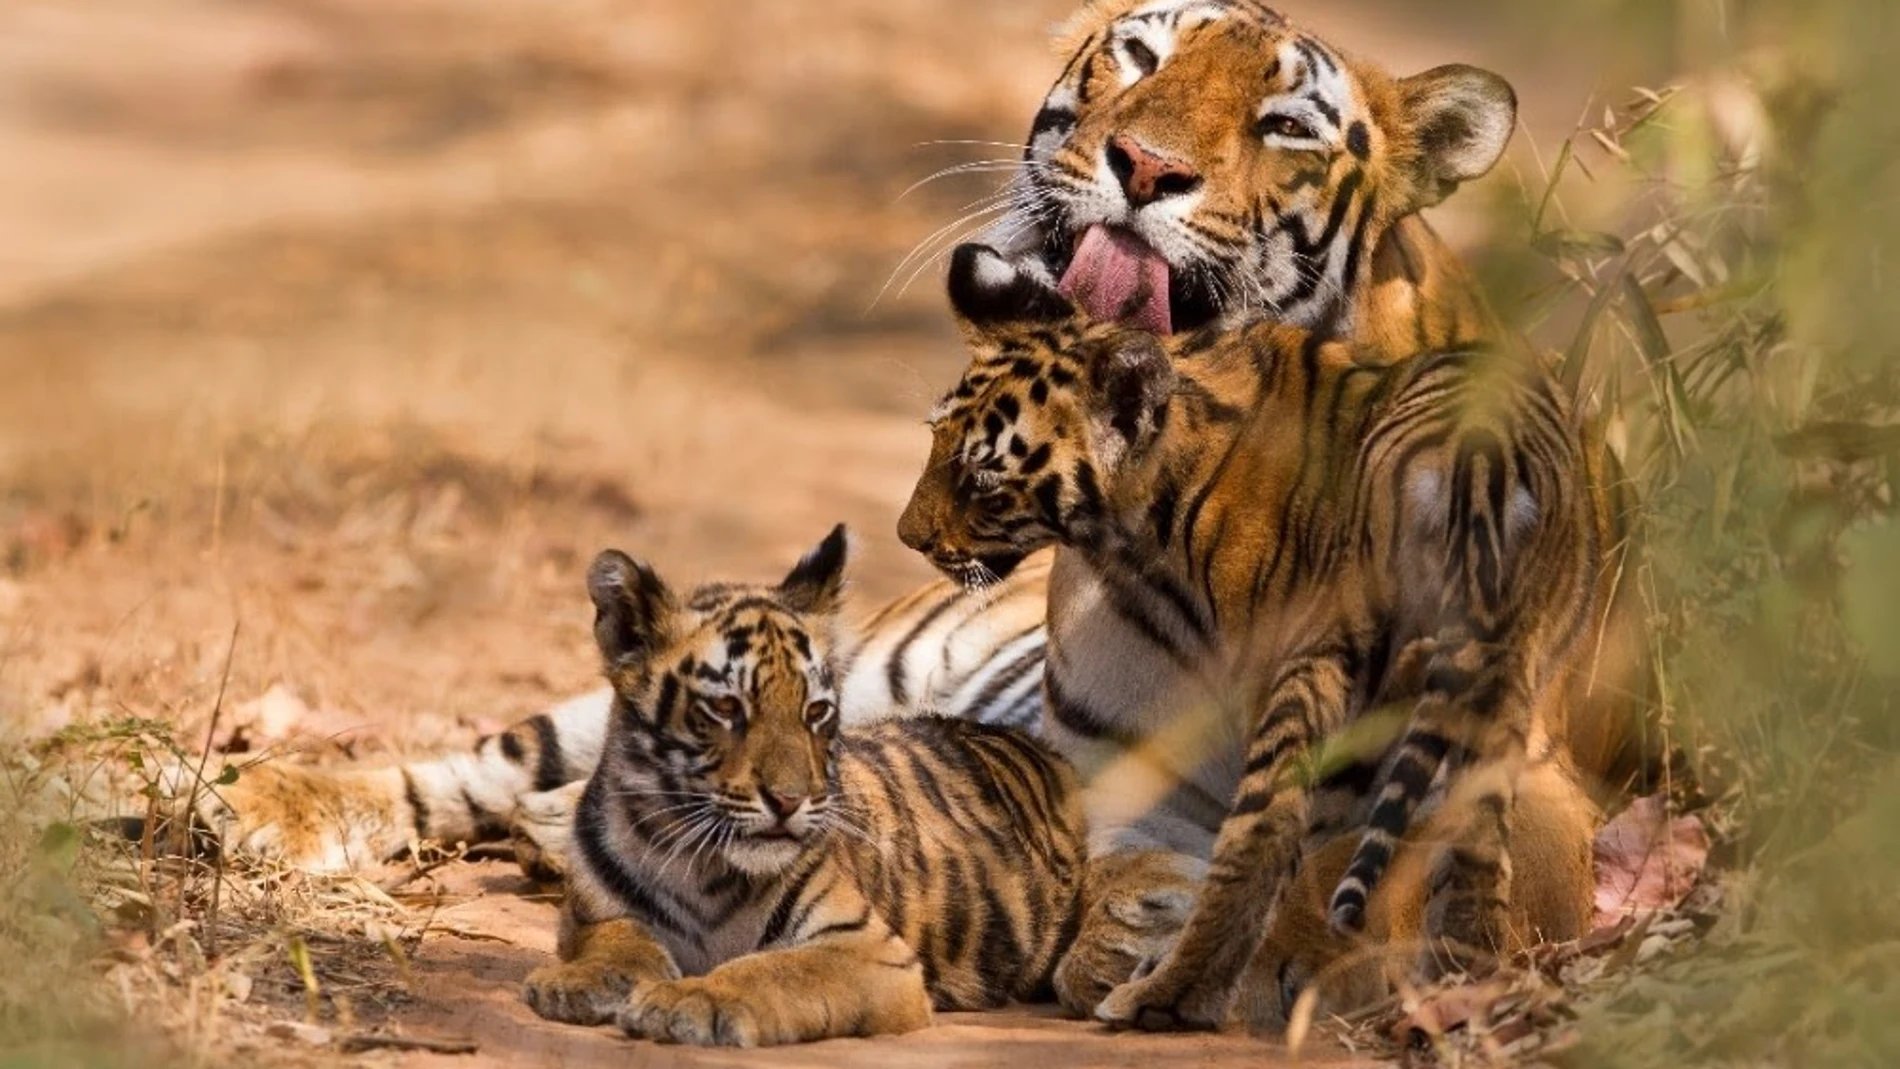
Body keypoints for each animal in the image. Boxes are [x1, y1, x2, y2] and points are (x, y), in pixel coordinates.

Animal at [520, 525, 1087, 1047]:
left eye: (815, 711)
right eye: (726, 707)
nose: (789, 801)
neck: (696, 865)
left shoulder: (867, 950)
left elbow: (772, 970)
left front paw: (691, 998)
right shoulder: (593, 914)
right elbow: (617, 941)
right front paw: (575, 982)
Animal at [897, 240, 1632, 1031]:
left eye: (982, 479)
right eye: (934, 441)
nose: (908, 536)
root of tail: (1479, 463)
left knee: (1274, 841)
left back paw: (1174, 994)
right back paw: (1462, 971)